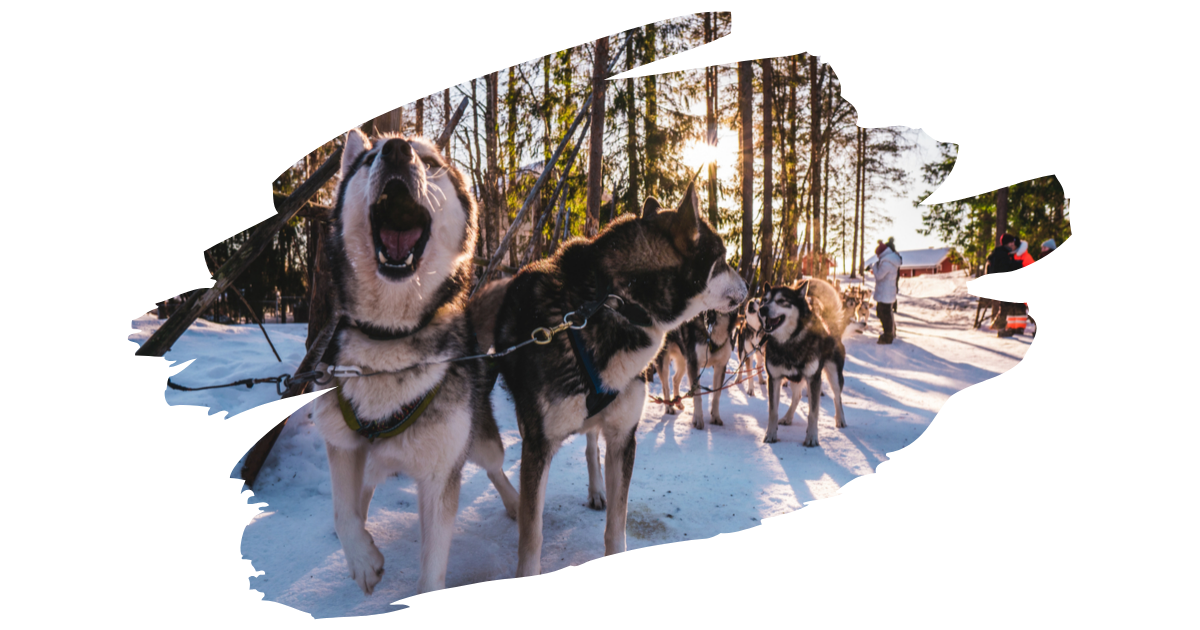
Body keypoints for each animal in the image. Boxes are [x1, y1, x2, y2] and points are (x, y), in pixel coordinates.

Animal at [309, 129, 516, 595]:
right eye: (368, 160)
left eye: (431, 162)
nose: (396, 150)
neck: (390, 337)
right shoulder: (341, 443)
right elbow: (342, 512)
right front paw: (362, 559)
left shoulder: (441, 474)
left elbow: (431, 571)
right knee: (362, 492)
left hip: (481, 441)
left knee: (496, 468)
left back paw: (515, 501)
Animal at [484, 181, 739, 573]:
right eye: (723, 259)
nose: (749, 285)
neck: (616, 302)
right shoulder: (538, 446)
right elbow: (532, 535)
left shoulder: (622, 437)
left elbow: (616, 527)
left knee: (591, 447)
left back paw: (596, 490)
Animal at [758, 282, 844, 444]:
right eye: (764, 300)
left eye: (781, 300)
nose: (762, 309)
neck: (789, 342)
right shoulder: (774, 378)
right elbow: (773, 411)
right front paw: (770, 434)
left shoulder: (813, 379)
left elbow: (813, 413)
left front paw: (812, 437)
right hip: (795, 379)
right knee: (797, 397)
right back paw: (787, 417)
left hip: (834, 375)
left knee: (837, 396)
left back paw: (840, 419)